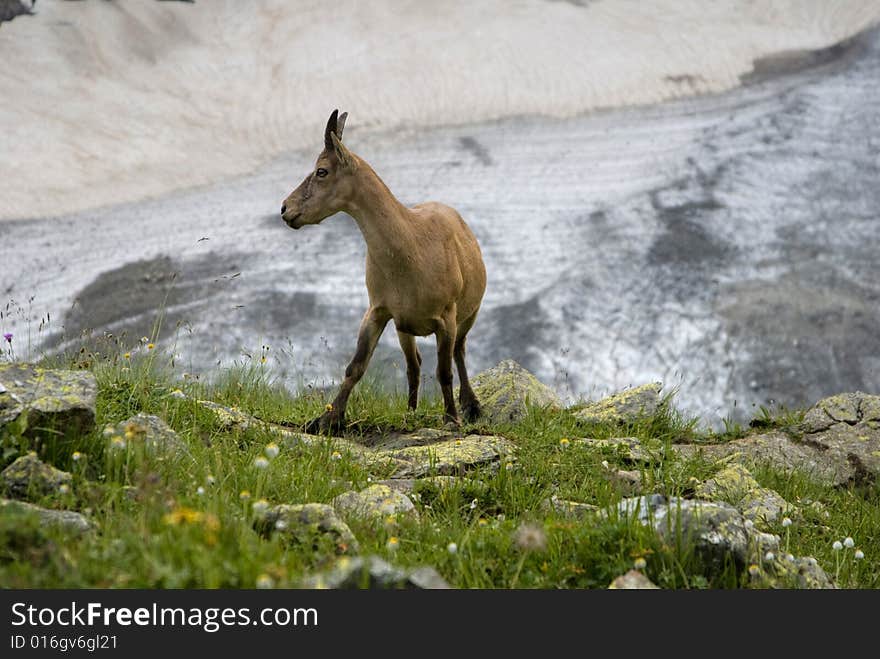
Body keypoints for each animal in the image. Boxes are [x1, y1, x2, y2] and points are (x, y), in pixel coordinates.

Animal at [284, 109, 484, 434]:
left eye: (322, 171)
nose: (285, 209)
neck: (411, 250)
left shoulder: (447, 316)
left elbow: (444, 371)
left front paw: (451, 419)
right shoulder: (379, 309)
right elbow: (355, 366)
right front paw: (326, 420)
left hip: (469, 314)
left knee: (459, 353)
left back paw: (470, 405)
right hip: (405, 328)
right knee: (414, 365)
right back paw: (410, 412)